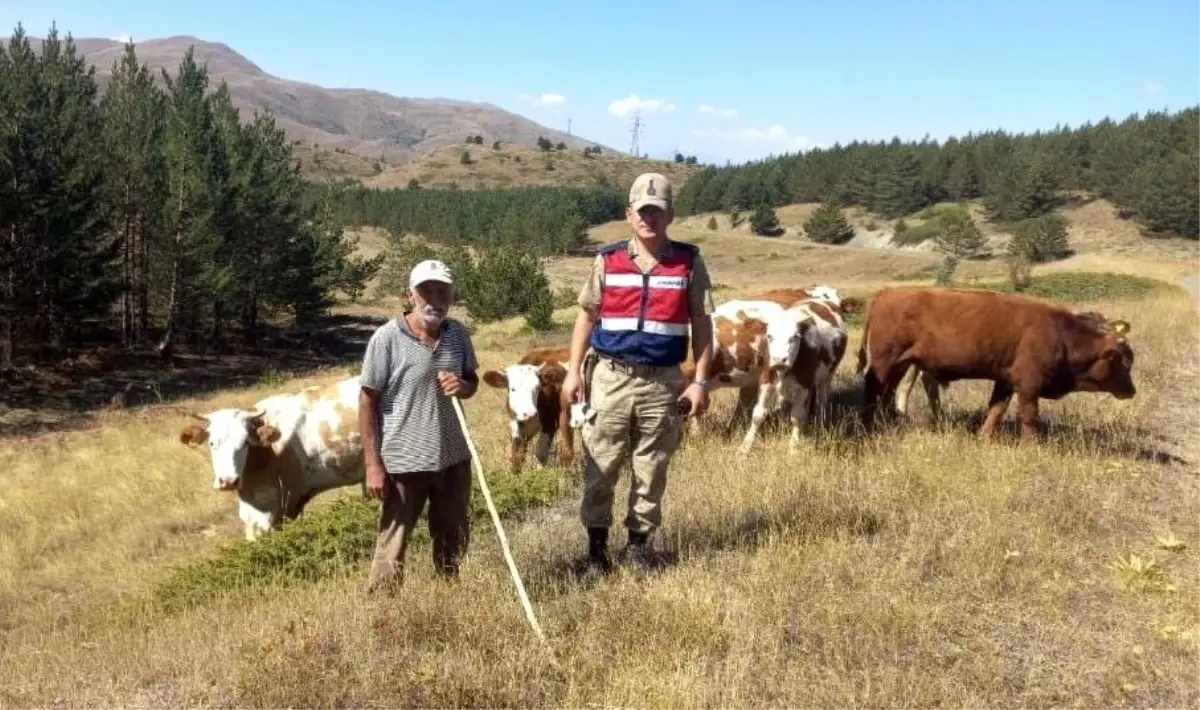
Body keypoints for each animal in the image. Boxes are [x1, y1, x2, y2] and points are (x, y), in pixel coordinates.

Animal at [854, 285, 1132, 441]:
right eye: (1123, 361)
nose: (1131, 390)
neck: (1062, 335)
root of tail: (886, 294)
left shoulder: (1005, 381)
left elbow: (996, 409)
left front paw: (983, 438)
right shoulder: (1028, 385)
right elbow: (1028, 416)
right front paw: (1031, 445)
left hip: (901, 364)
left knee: (888, 391)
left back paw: (888, 422)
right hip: (885, 361)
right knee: (874, 388)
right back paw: (869, 424)